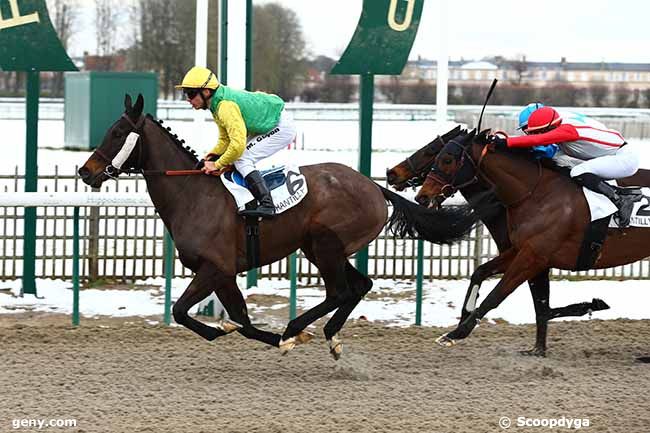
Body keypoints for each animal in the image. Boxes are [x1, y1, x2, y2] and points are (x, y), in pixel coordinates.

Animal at [77, 93, 480, 358]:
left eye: (117, 133)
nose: (85, 171)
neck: (193, 193)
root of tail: (373, 185)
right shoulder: (224, 273)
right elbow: (242, 319)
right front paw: (252, 333)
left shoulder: (214, 267)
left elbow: (181, 312)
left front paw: (272, 336)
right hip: (321, 248)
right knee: (360, 285)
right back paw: (329, 335)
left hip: (324, 243)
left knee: (340, 291)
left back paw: (297, 327)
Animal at [416, 129, 648, 358]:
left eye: (446, 159)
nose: (422, 197)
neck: (537, 194)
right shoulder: (521, 250)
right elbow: (482, 272)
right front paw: (537, 349)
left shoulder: (533, 258)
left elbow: (497, 296)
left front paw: (456, 333)